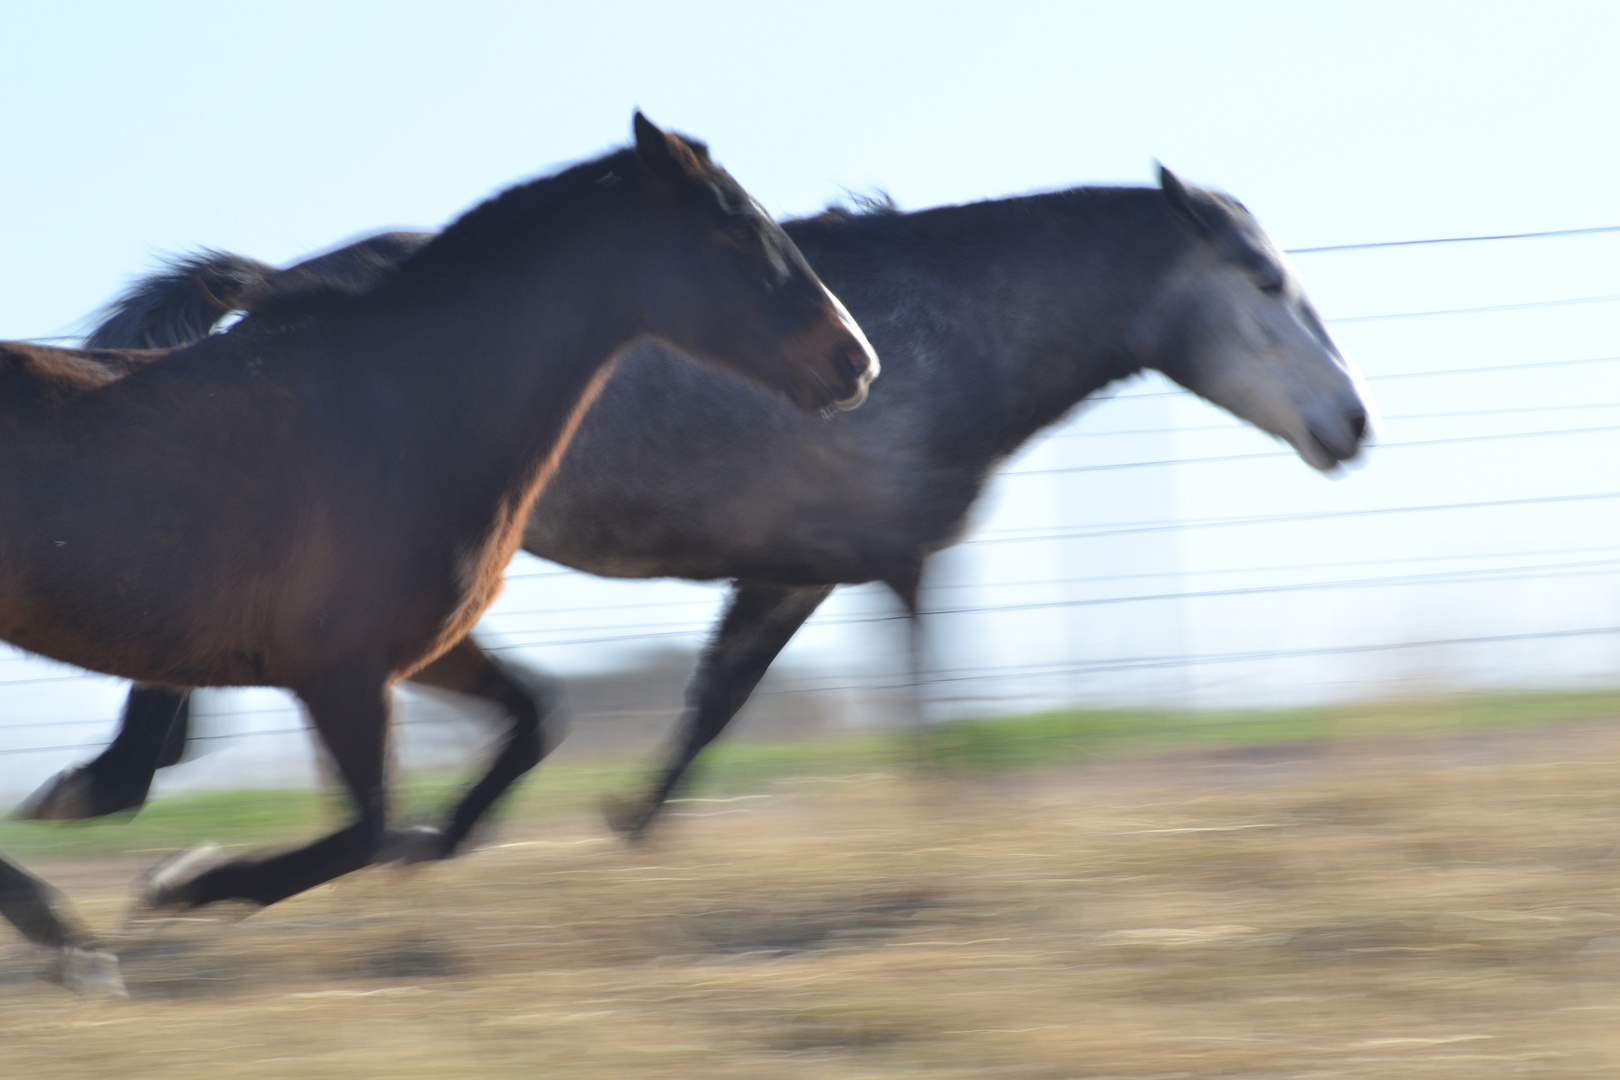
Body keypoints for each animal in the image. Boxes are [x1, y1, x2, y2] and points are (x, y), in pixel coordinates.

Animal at [0, 114, 874, 990]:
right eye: (736, 228)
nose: (857, 360)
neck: (404, 408)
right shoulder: (339, 672)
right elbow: (370, 830)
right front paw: (181, 882)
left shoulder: (412, 651)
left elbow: (533, 721)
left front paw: (432, 845)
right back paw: (70, 936)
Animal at [28, 166, 1367, 854]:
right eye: (1264, 281)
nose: (1351, 424)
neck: (945, 334)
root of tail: (278, 286)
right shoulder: (898, 564)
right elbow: (929, 701)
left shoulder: (797, 570)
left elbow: (716, 701)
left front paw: (628, 824)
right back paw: (107, 785)